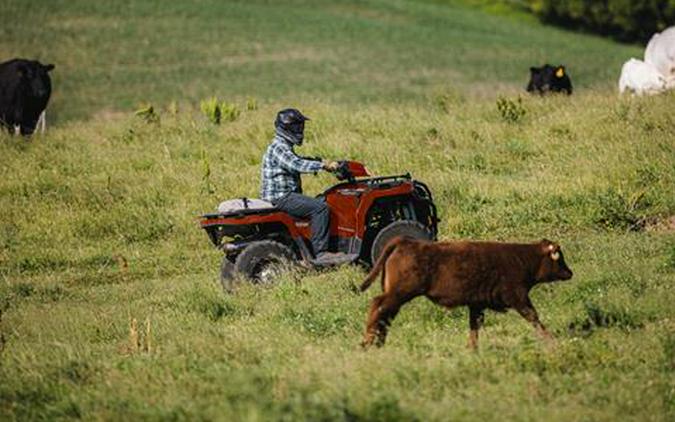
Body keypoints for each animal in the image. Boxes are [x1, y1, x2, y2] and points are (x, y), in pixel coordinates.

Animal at [362, 237, 572, 350]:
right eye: (559, 257)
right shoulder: (518, 298)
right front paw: (552, 340)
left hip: (396, 296)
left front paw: (473, 348)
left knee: (385, 315)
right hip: (399, 293)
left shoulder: (476, 304)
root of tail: (406, 241)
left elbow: (474, 326)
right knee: (377, 306)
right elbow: (533, 317)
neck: (522, 258)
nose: (570, 272)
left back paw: (379, 342)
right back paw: (368, 342)